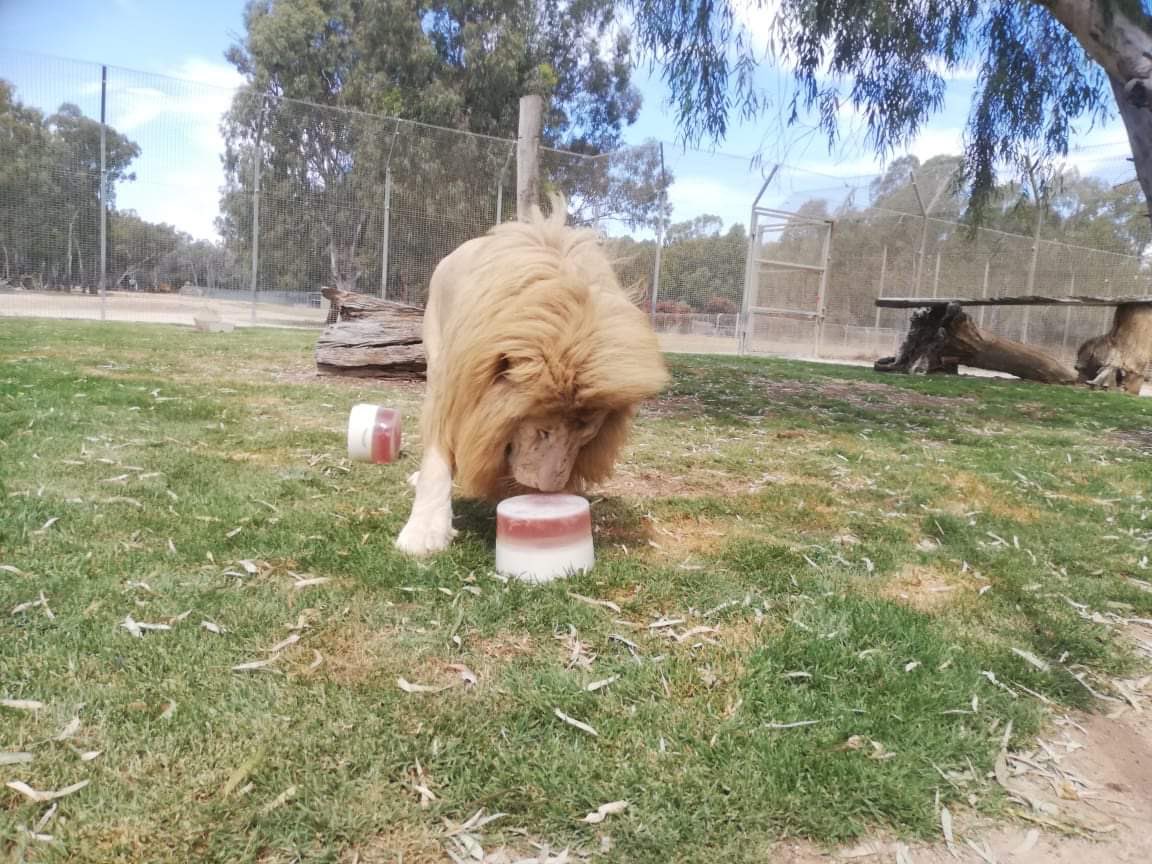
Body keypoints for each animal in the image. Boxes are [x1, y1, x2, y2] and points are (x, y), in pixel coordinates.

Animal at [394, 195, 669, 556]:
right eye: (541, 430)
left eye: (586, 434)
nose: (549, 492)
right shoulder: (450, 385)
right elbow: (436, 462)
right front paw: (424, 531)